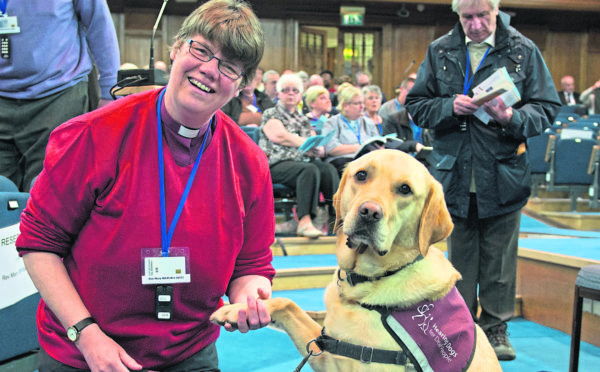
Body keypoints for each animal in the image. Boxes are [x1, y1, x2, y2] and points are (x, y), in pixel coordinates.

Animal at [211, 149, 502, 372]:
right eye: (362, 175)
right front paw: (240, 309)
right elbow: (290, 304)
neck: (368, 281)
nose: (369, 212)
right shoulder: (326, 349)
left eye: (405, 189)